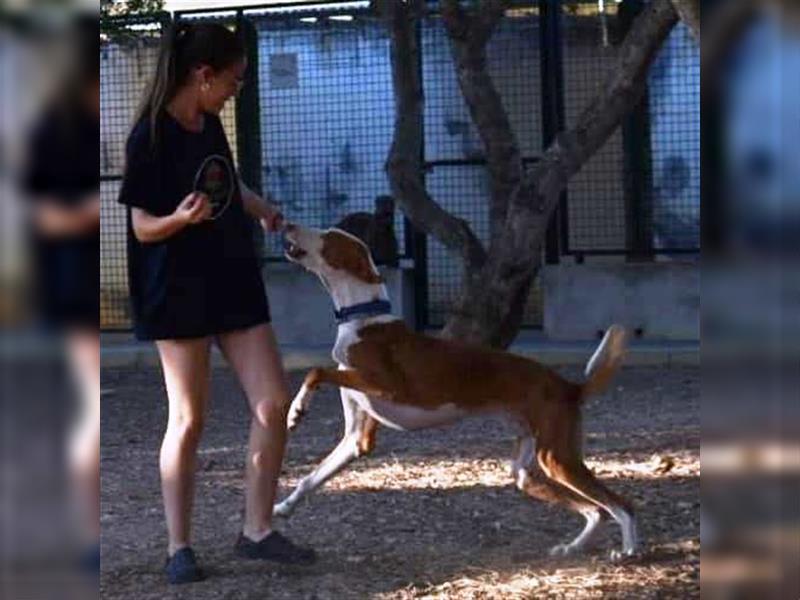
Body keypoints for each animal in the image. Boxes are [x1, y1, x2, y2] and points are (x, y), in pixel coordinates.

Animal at [276, 224, 636, 556]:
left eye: (328, 236)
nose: (288, 224)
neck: (363, 319)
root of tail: (569, 386)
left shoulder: (388, 386)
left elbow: (316, 371)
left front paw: (296, 411)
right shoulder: (356, 440)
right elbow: (312, 477)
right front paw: (284, 506)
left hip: (557, 458)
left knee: (620, 504)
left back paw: (629, 550)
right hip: (530, 468)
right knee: (596, 510)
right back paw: (573, 547)